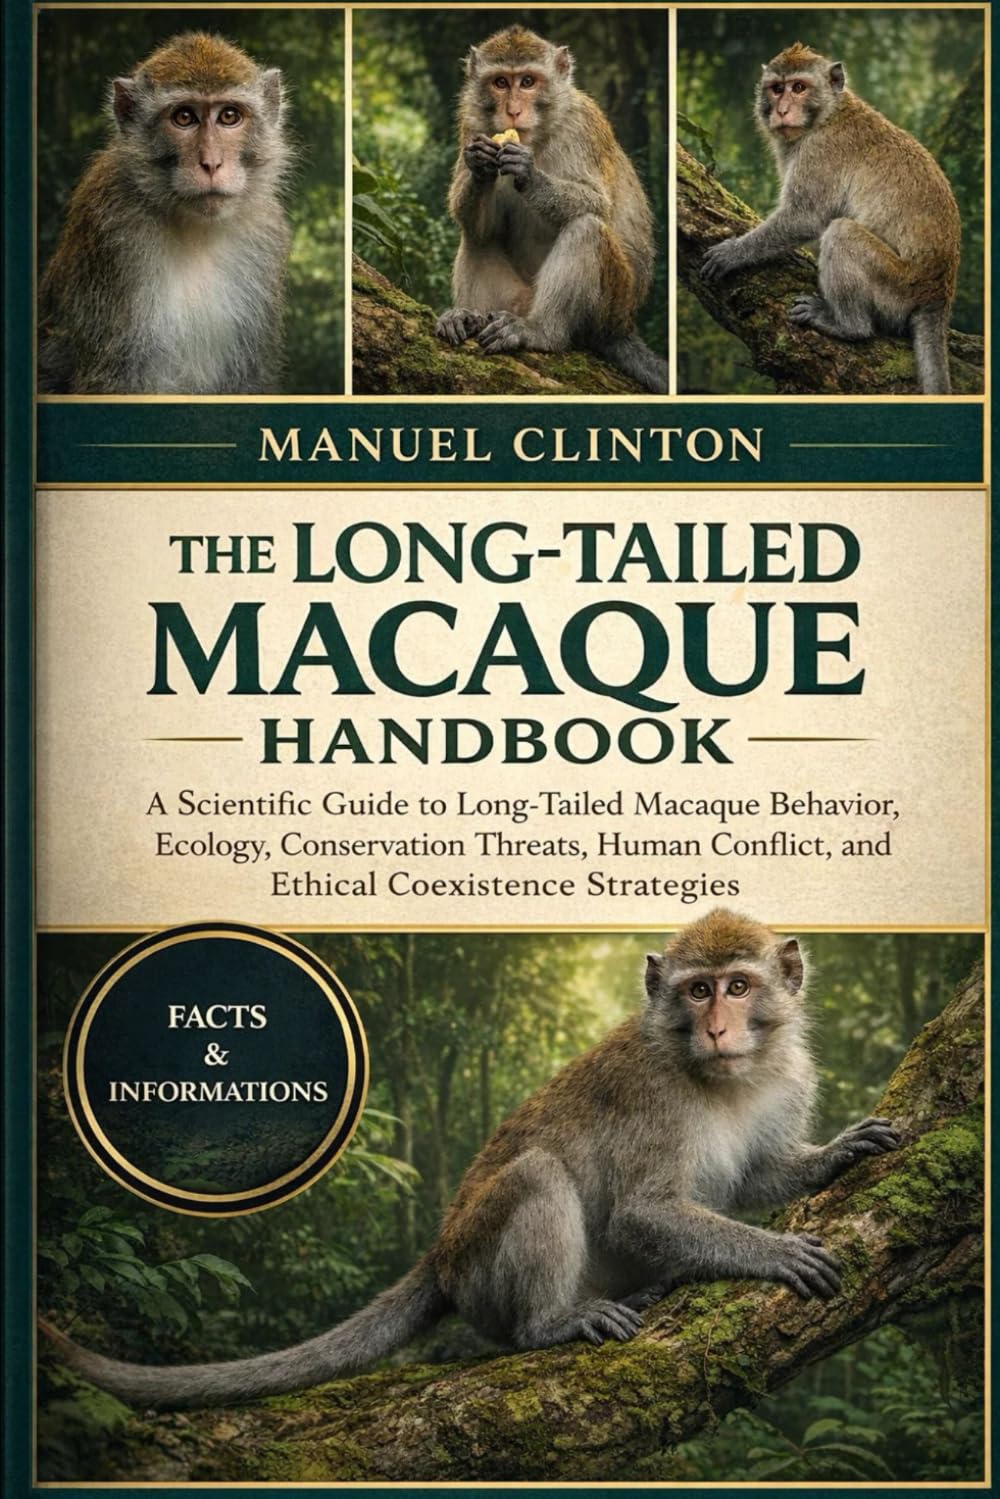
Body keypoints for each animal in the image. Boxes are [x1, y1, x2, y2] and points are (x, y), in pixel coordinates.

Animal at [38, 32, 291, 395]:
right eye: (183, 118)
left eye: (229, 116)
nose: (211, 163)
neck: (196, 229)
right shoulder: (114, 236)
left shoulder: (264, 233)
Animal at [42, 909, 899, 1408]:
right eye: (696, 992)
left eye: (738, 986)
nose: (718, 1026)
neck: (724, 1075)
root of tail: (440, 1252)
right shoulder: (650, 1092)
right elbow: (643, 1210)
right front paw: (775, 1251)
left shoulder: (789, 1076)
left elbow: (759, 1174)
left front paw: (833, 1156)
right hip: (479, 1267)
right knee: (538, 1177)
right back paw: (550, 1323)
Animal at [434, 27, 667, 394]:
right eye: (501, 82)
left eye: (528, 81)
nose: (513, 111)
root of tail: (624, 324)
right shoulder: (471, 124)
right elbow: (482, 227)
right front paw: (479, 165)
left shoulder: (583, 125)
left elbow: (597, 204)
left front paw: (528, 173)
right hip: (514, 298)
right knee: (476, 238)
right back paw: (469, 317)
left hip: (610, 308)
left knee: (587, 230)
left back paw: (541, 331)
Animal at [700, 43, 961, 395]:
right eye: (777, 88)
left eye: (799, 87)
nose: (782, 110)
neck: (828, 114)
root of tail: (938, 294)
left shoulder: (819, 151)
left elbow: (806, 218)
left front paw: (733, 253)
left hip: (898, 287)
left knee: (841, 234)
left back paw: (849, 326)